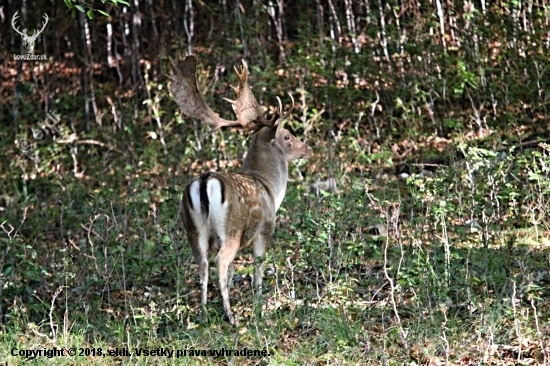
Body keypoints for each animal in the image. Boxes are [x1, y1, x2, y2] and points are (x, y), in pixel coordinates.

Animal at [168, 55, 312, 324]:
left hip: (192, 229)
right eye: (288, 136)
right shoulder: (265, 230)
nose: (307, 148)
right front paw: (259, 307)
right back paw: (230, 316)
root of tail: (204, 183)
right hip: (231, 230)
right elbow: (257, 272)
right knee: (219, 262)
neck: (270, 188)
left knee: (203, 264)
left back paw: (204, 313)